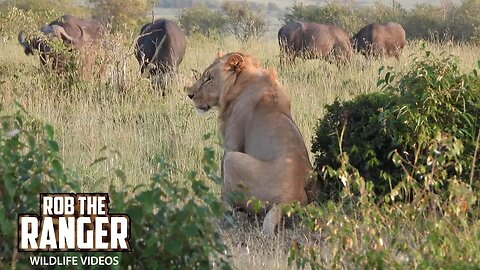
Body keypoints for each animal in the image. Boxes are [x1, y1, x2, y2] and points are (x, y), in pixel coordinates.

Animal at [187, 52, 316, 234]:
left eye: (209, 78)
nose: (189, 94)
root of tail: (288, 200)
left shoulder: (231, 144)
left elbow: (222, 182)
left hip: (234, 160)